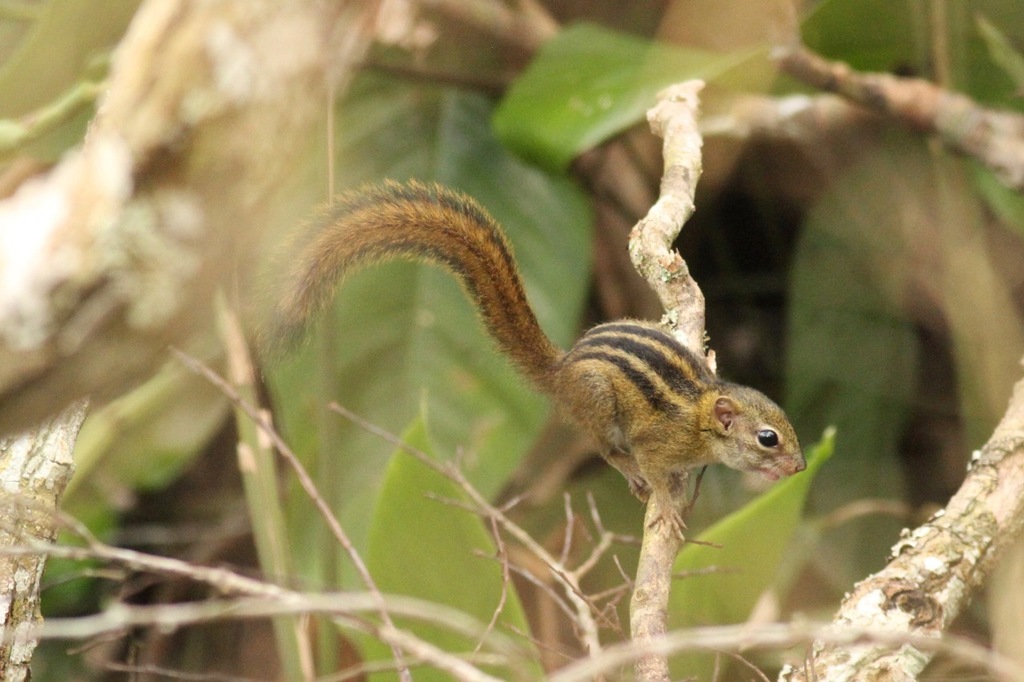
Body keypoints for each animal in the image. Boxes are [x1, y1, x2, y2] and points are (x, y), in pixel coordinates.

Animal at [266, 180, 805, 537]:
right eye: (768, 438)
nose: (800, 468)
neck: (698, 414)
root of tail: (561, 369)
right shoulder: (658, 442)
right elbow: (652, 466)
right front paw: (667, 505)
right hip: (597, 400)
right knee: (603, 447)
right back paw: (627, 470)